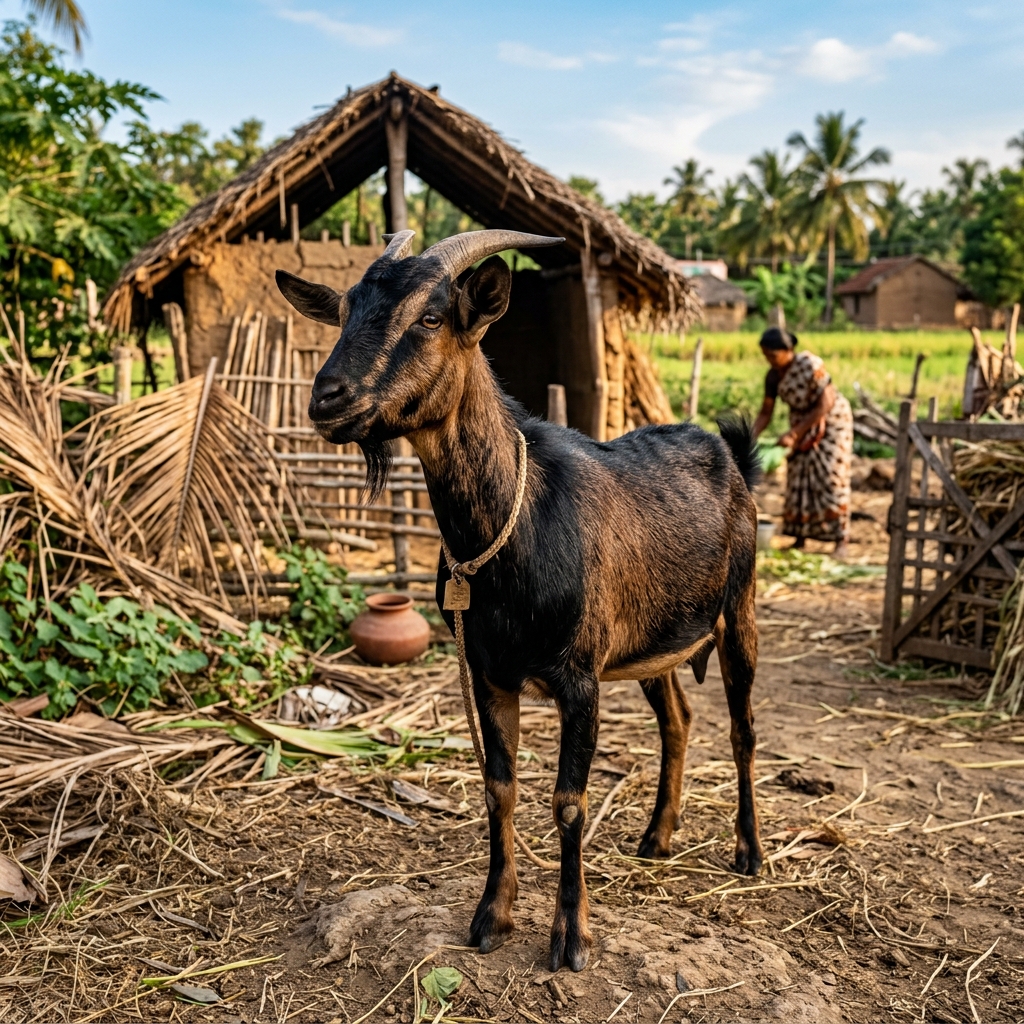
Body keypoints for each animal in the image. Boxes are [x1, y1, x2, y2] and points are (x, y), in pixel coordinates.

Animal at [277, 229, 762, 973]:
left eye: (429, 317)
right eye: (345, 310)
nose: (328, 397)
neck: (513, 523)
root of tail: (731, 453)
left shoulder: (579, 679)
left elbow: (569, 802)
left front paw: (571, 937)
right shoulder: (490, 675)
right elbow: (498, 788)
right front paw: (491, 916)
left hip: (739, 611)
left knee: (742, 729)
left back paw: (749, 853)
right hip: (653, 642)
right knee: (677, 720)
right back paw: (657, 837)